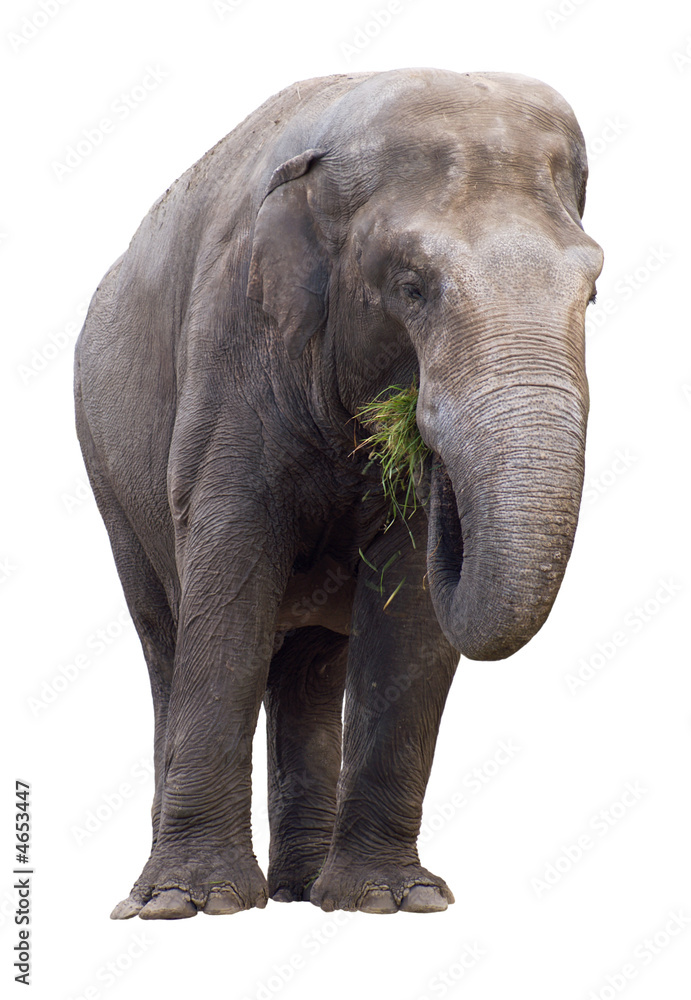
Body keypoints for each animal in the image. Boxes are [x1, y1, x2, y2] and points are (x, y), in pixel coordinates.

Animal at [74, 67, 602, 919]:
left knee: (312, 668)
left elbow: (409, 608)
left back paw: (302, 891)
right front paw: (191, 904)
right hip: (109, 475)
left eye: (590, 294)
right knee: (165, 635)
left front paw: (395, 899)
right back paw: (153, 895)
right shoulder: (232, 347)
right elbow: (229, 574)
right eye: (412, 286)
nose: (422, 440)